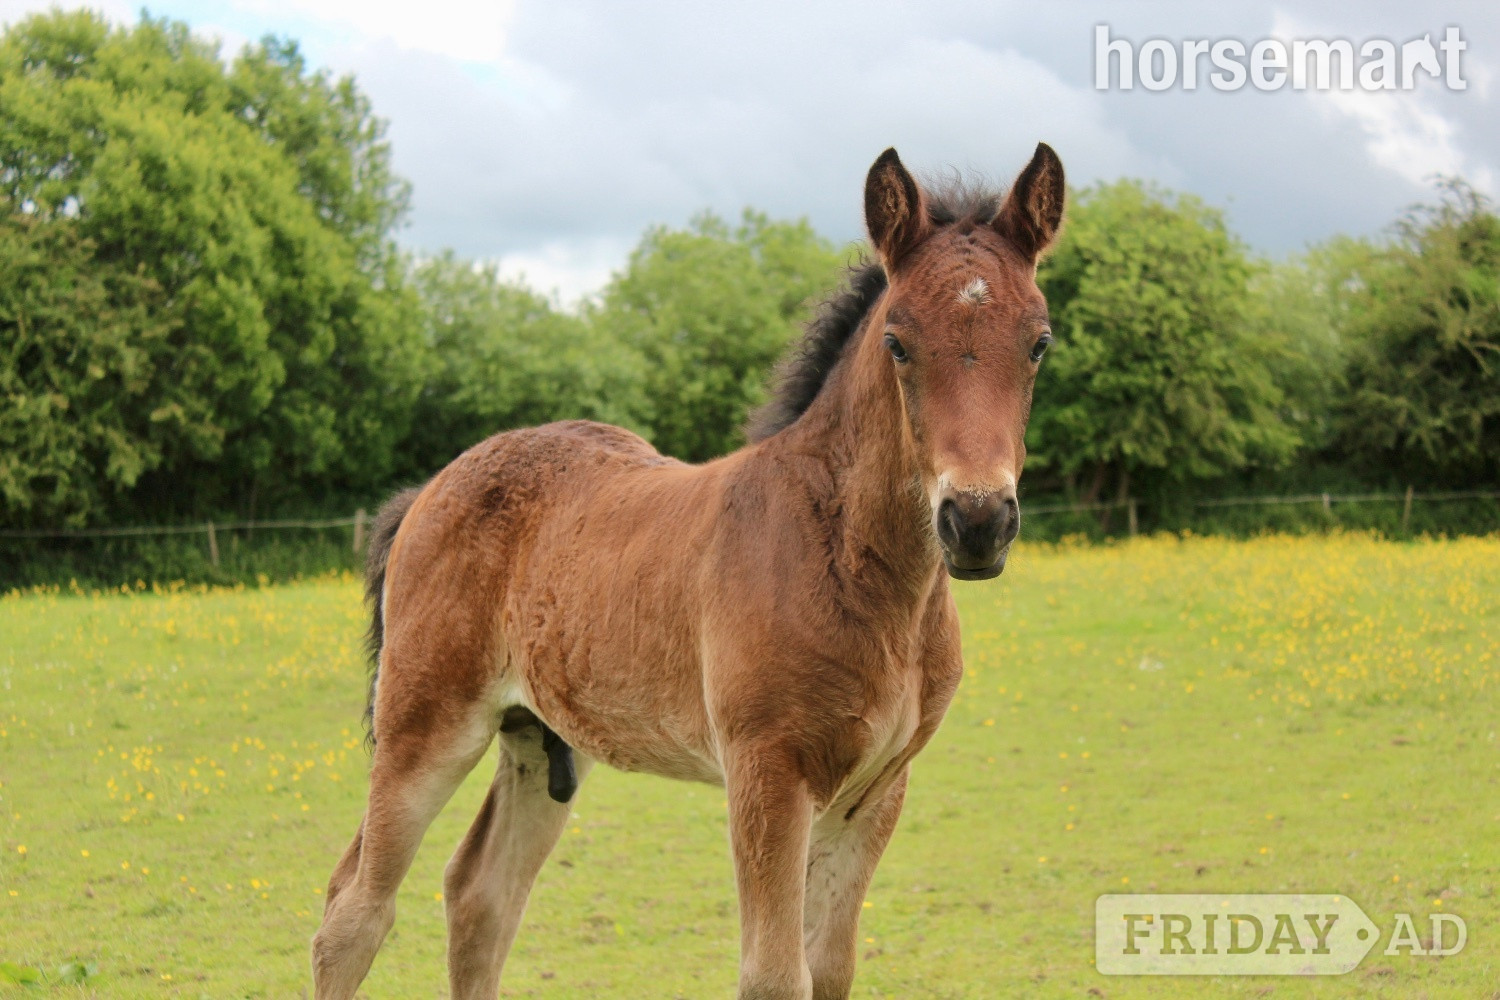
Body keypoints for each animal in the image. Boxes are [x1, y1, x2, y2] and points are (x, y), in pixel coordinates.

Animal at [311, 142, 1065, 1000]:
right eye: (898, 342)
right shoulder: (768, 773)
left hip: (538, 740)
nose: (977, 522)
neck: (853, 567)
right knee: (354, 911)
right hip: (424, 725)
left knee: (481, 896)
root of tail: (431, 489)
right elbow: (774, 975)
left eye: (1039, 342)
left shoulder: (876, 791)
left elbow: (829, 969)